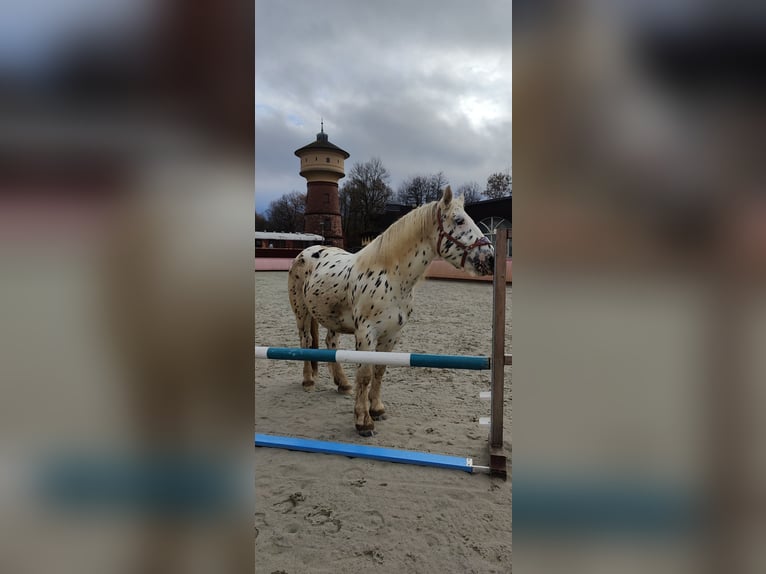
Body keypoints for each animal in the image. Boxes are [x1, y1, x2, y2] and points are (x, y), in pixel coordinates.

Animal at [290, 188, 498, 436]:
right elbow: (365, 375)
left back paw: (342, 383)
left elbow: (380, 370)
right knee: (305, 342)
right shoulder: (366, 334)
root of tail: (306, 251)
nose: (491, 258)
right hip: (302, 313)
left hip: (333, 320)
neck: (389, 275)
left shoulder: (391, 335)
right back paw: (308, 381)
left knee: (331, 344)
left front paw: (377, 409)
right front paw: (363, 421)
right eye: (459, 220)